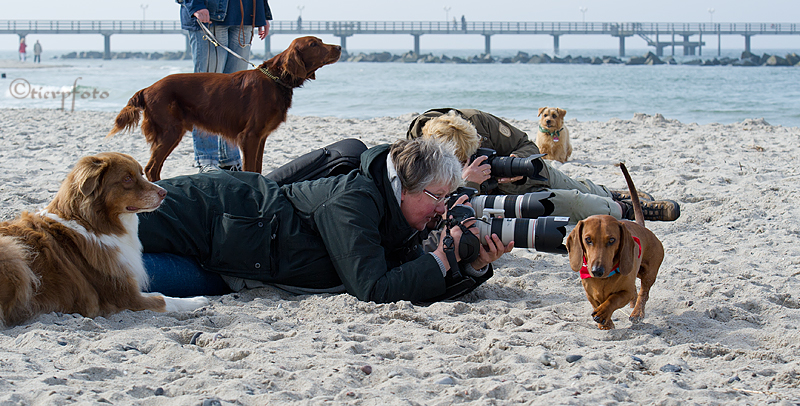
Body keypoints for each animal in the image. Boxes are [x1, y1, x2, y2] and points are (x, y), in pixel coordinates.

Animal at [0, 152, 209, 326]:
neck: (94, 224)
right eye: (127, 178)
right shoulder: (125, 297)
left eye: (141, 173)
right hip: (12, 255)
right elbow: (164, 299)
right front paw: (197, 300)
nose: (164, 193)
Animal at [107, 35, 340, 182]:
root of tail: (147, 89)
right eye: (314, 44)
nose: (339, 47)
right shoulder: (249, 136)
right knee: (151, 168)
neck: (276, 79)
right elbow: (250, 168)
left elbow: (258, 167)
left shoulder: (261, 137)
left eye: (320, 41)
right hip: (171, 131)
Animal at [564, 163, 664, 330]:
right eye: (588, 239)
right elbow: (596, 303)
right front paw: (606, 323)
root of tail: (642, 227)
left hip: (649, 273)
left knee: (643, 293)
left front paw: (604, 313)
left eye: (612, 240)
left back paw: (637, 312)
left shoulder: (625, 291)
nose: (597, 271)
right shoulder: (590, 294)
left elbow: (613, 299)